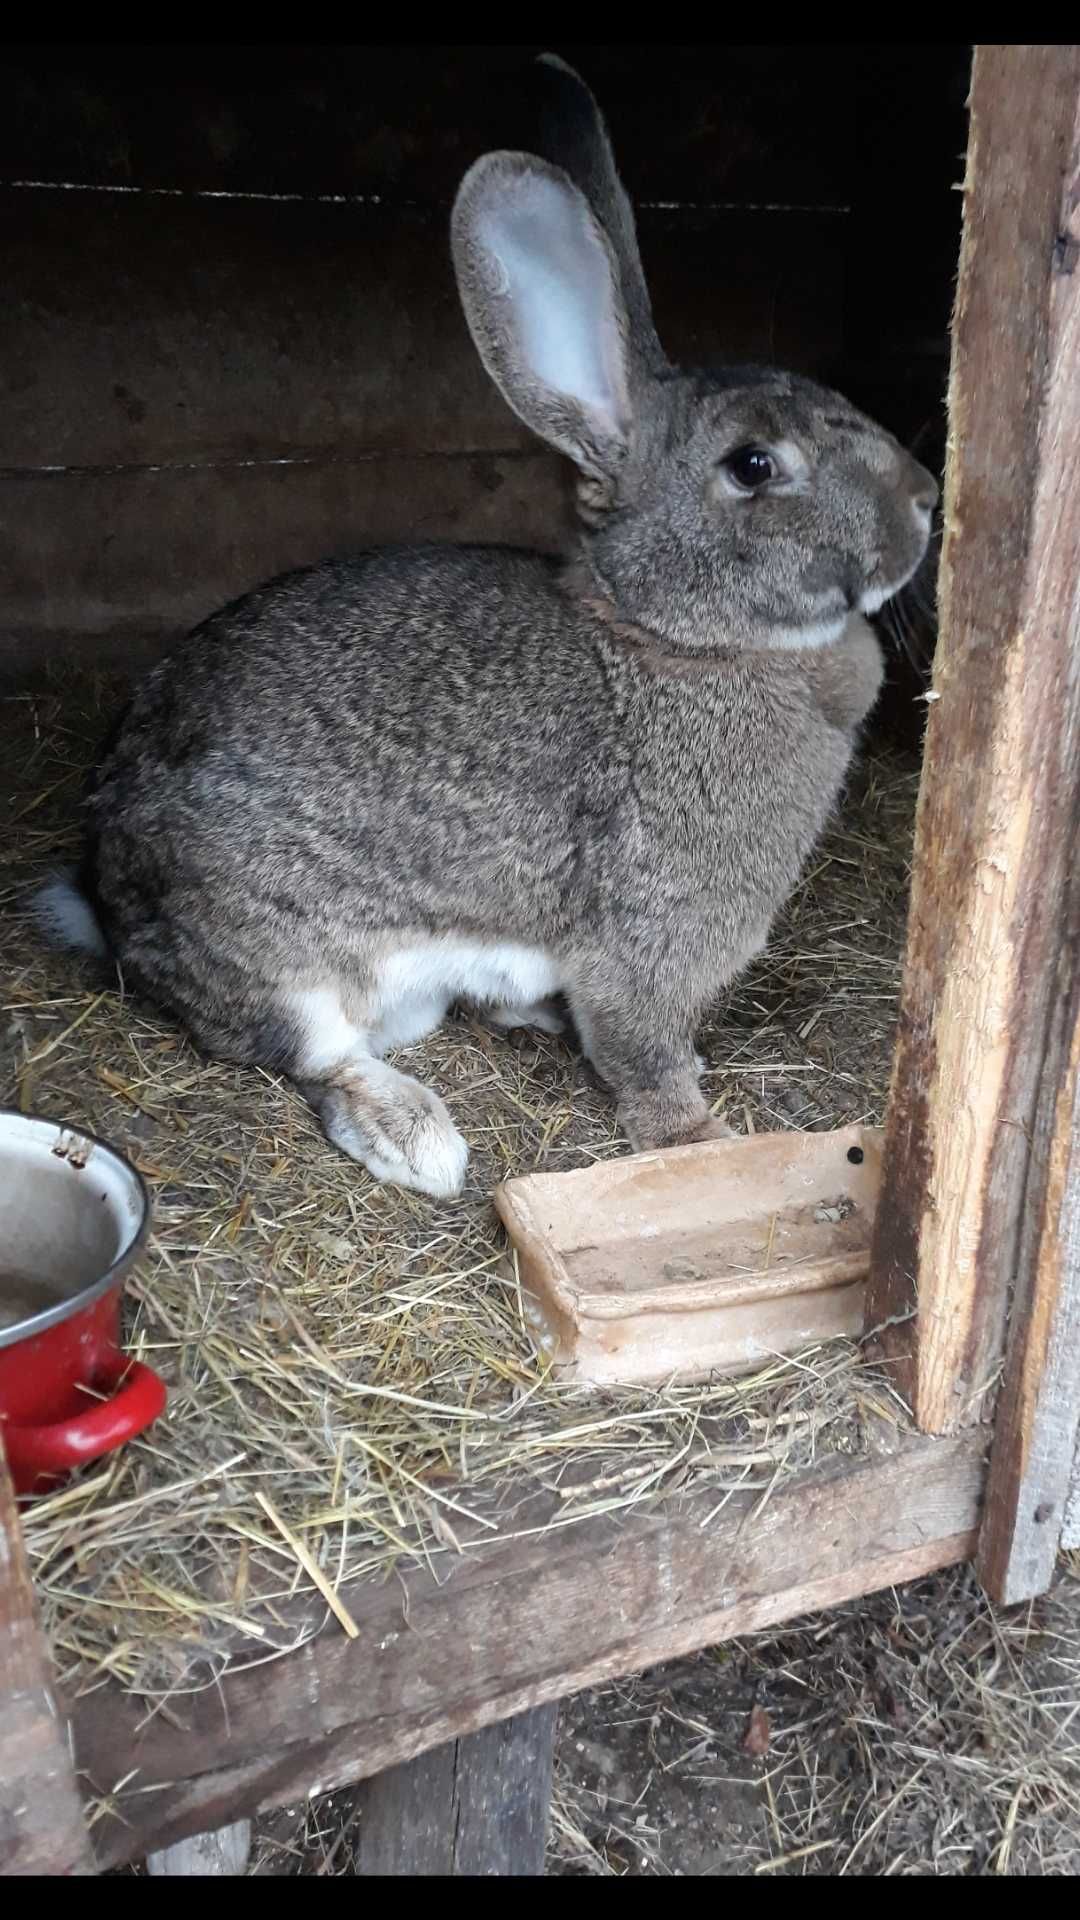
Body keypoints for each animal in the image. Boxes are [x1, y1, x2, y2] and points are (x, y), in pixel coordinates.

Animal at [35, 56, 933, 1198]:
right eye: (754, 466)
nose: (927, 499)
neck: (669, 635)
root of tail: (110, 904)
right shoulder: (649, 940)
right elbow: (639, 1050)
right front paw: (696, 1134)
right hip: (275, 954)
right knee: (313, 1054)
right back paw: (417, 1135)